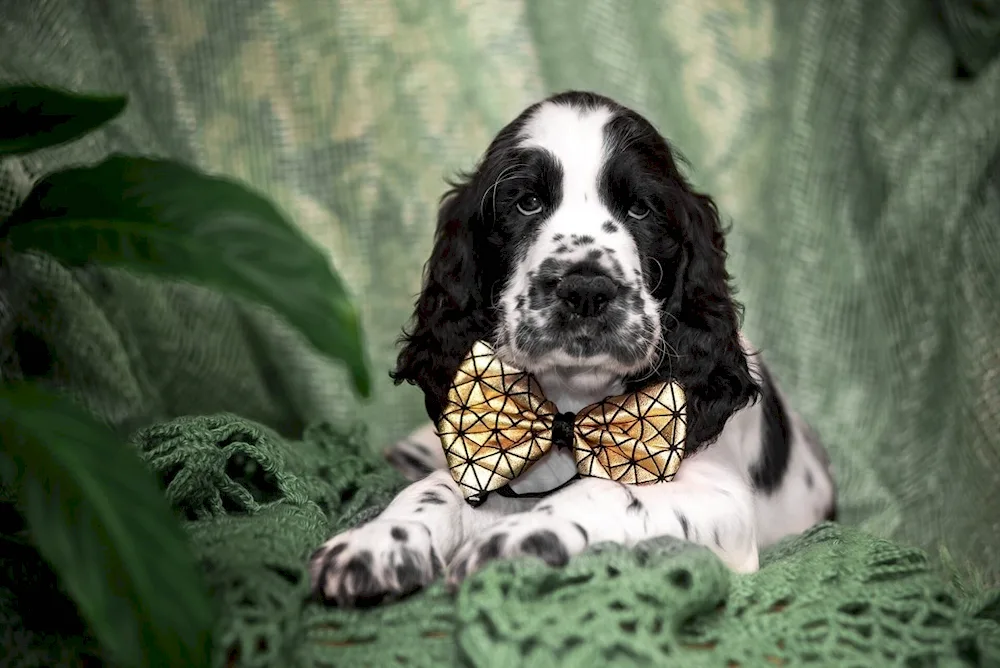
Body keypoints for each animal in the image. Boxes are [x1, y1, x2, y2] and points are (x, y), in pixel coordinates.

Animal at [306, 91, 836, 608]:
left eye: (640, 210)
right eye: (526, 203)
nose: (586, 289)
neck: (570, 407)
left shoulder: (722, 500)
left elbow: (608, 492)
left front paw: (519, 538)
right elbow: (437, 488)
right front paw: (380, 539)